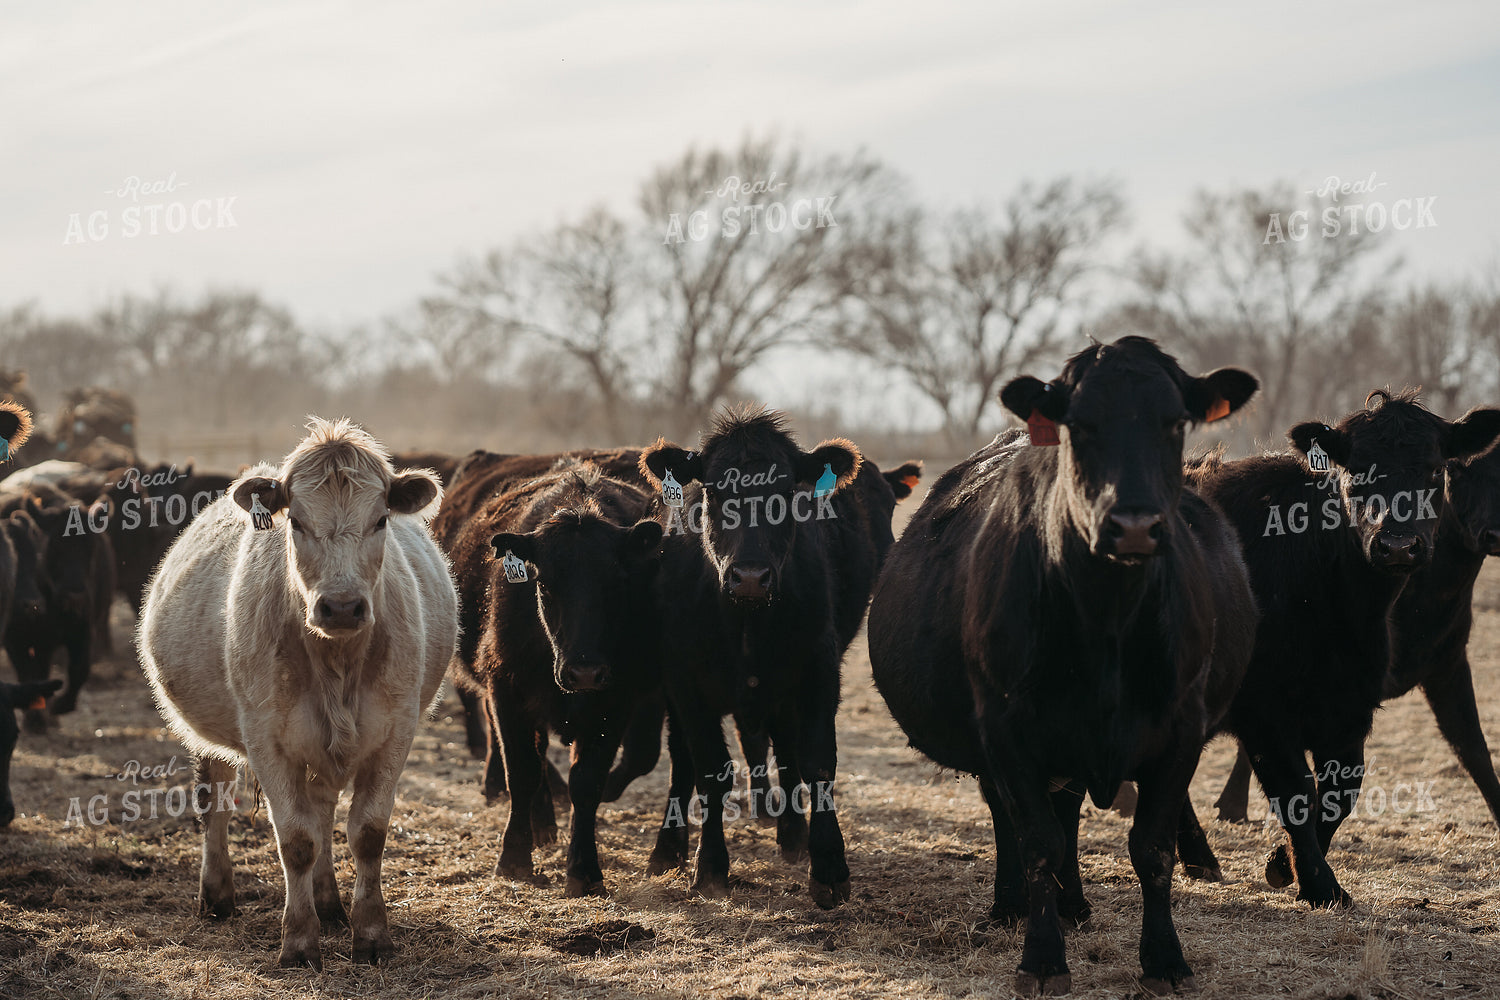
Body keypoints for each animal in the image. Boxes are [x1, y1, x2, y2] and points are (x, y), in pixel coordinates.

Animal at [137, 417, 457, 969]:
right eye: (297, 523)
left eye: (380, 520)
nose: (343, 607)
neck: (337, 664)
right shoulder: (267, 738)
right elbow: (296, 840)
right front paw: (300, 941)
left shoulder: (396, 730)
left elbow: (367, 833)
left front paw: (371, 934)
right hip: (208, 735)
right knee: (215, 800)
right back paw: (218, 895)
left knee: (323, 804)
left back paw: (329, 904)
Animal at [637, 407, 912, 909]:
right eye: (713, 491)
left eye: (785, 494)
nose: (749, 576)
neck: (747, 620)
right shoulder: (686, 683)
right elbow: (709, 770)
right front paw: (710, 867)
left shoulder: (818, 668)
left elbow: (816, 759)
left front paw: (828, 865)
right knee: (683, 760)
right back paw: (668, 850)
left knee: (785, 748)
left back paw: (792, 835)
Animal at [868, 337, 1259, 996]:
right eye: (1080, 424)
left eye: (1175, 421)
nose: (1133, 525)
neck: (1107, 625)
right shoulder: (1006, 728)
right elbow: (1036, 841)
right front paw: (1043, 957)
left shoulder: (1181, 730)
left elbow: (1151, 848)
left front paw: (1165, 960)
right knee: (1012, 816)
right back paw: (1011, 906)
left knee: (1069, 808)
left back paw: (1073, 904)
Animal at [1184, 389, 1500, 907]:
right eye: (1357, 472)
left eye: (1436, 471)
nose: (1397, 546)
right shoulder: (1263, 711)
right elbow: (1294, 791)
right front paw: (1319, 884)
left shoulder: (1354, 704)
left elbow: (1340, 792)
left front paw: (1283, 864)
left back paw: (1197, 859)